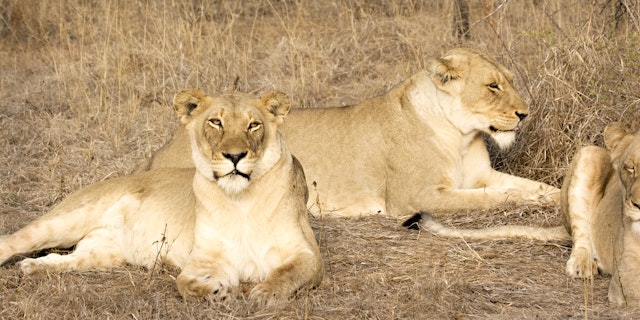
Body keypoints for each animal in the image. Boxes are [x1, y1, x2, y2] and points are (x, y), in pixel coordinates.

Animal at [0, 89, 320, 302]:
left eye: (254, 125)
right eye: (215, 122)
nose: (235, 156)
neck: (240, 200)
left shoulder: (307, 254)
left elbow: (288, 273)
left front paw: (265, 292)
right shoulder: (203, 258)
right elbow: (184, 283)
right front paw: (216, 291)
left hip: (103, 253)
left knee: (67, 258)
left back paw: (32, 267)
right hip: (65, 220)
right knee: (12, 240)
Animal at [136, 47, 560, 218]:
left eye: (508, 80)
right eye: (492, 86)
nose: (525, 114)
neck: (461, 134)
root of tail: (159, 151)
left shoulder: (481, 175)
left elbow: (533, 186)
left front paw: (557, 196)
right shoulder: (414, 197)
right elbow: (490, 199)